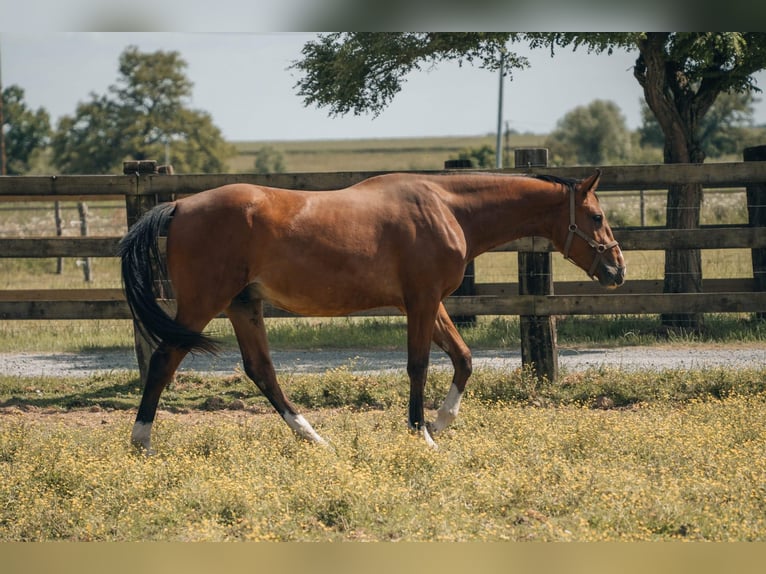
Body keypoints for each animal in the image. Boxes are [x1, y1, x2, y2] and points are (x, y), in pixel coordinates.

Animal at [118, 172, 624, 454]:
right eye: (597, 217)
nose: (618, 269)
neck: (446, 208)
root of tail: (180, 205)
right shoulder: (422, 301)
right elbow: (419, 366)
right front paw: (421, 434)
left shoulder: (428, 303)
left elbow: (463, 358)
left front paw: (439, 422)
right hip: (203, 304)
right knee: (163, 361)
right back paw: (141, 442)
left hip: (244, 305)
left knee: (262, 371)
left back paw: (314, 439)